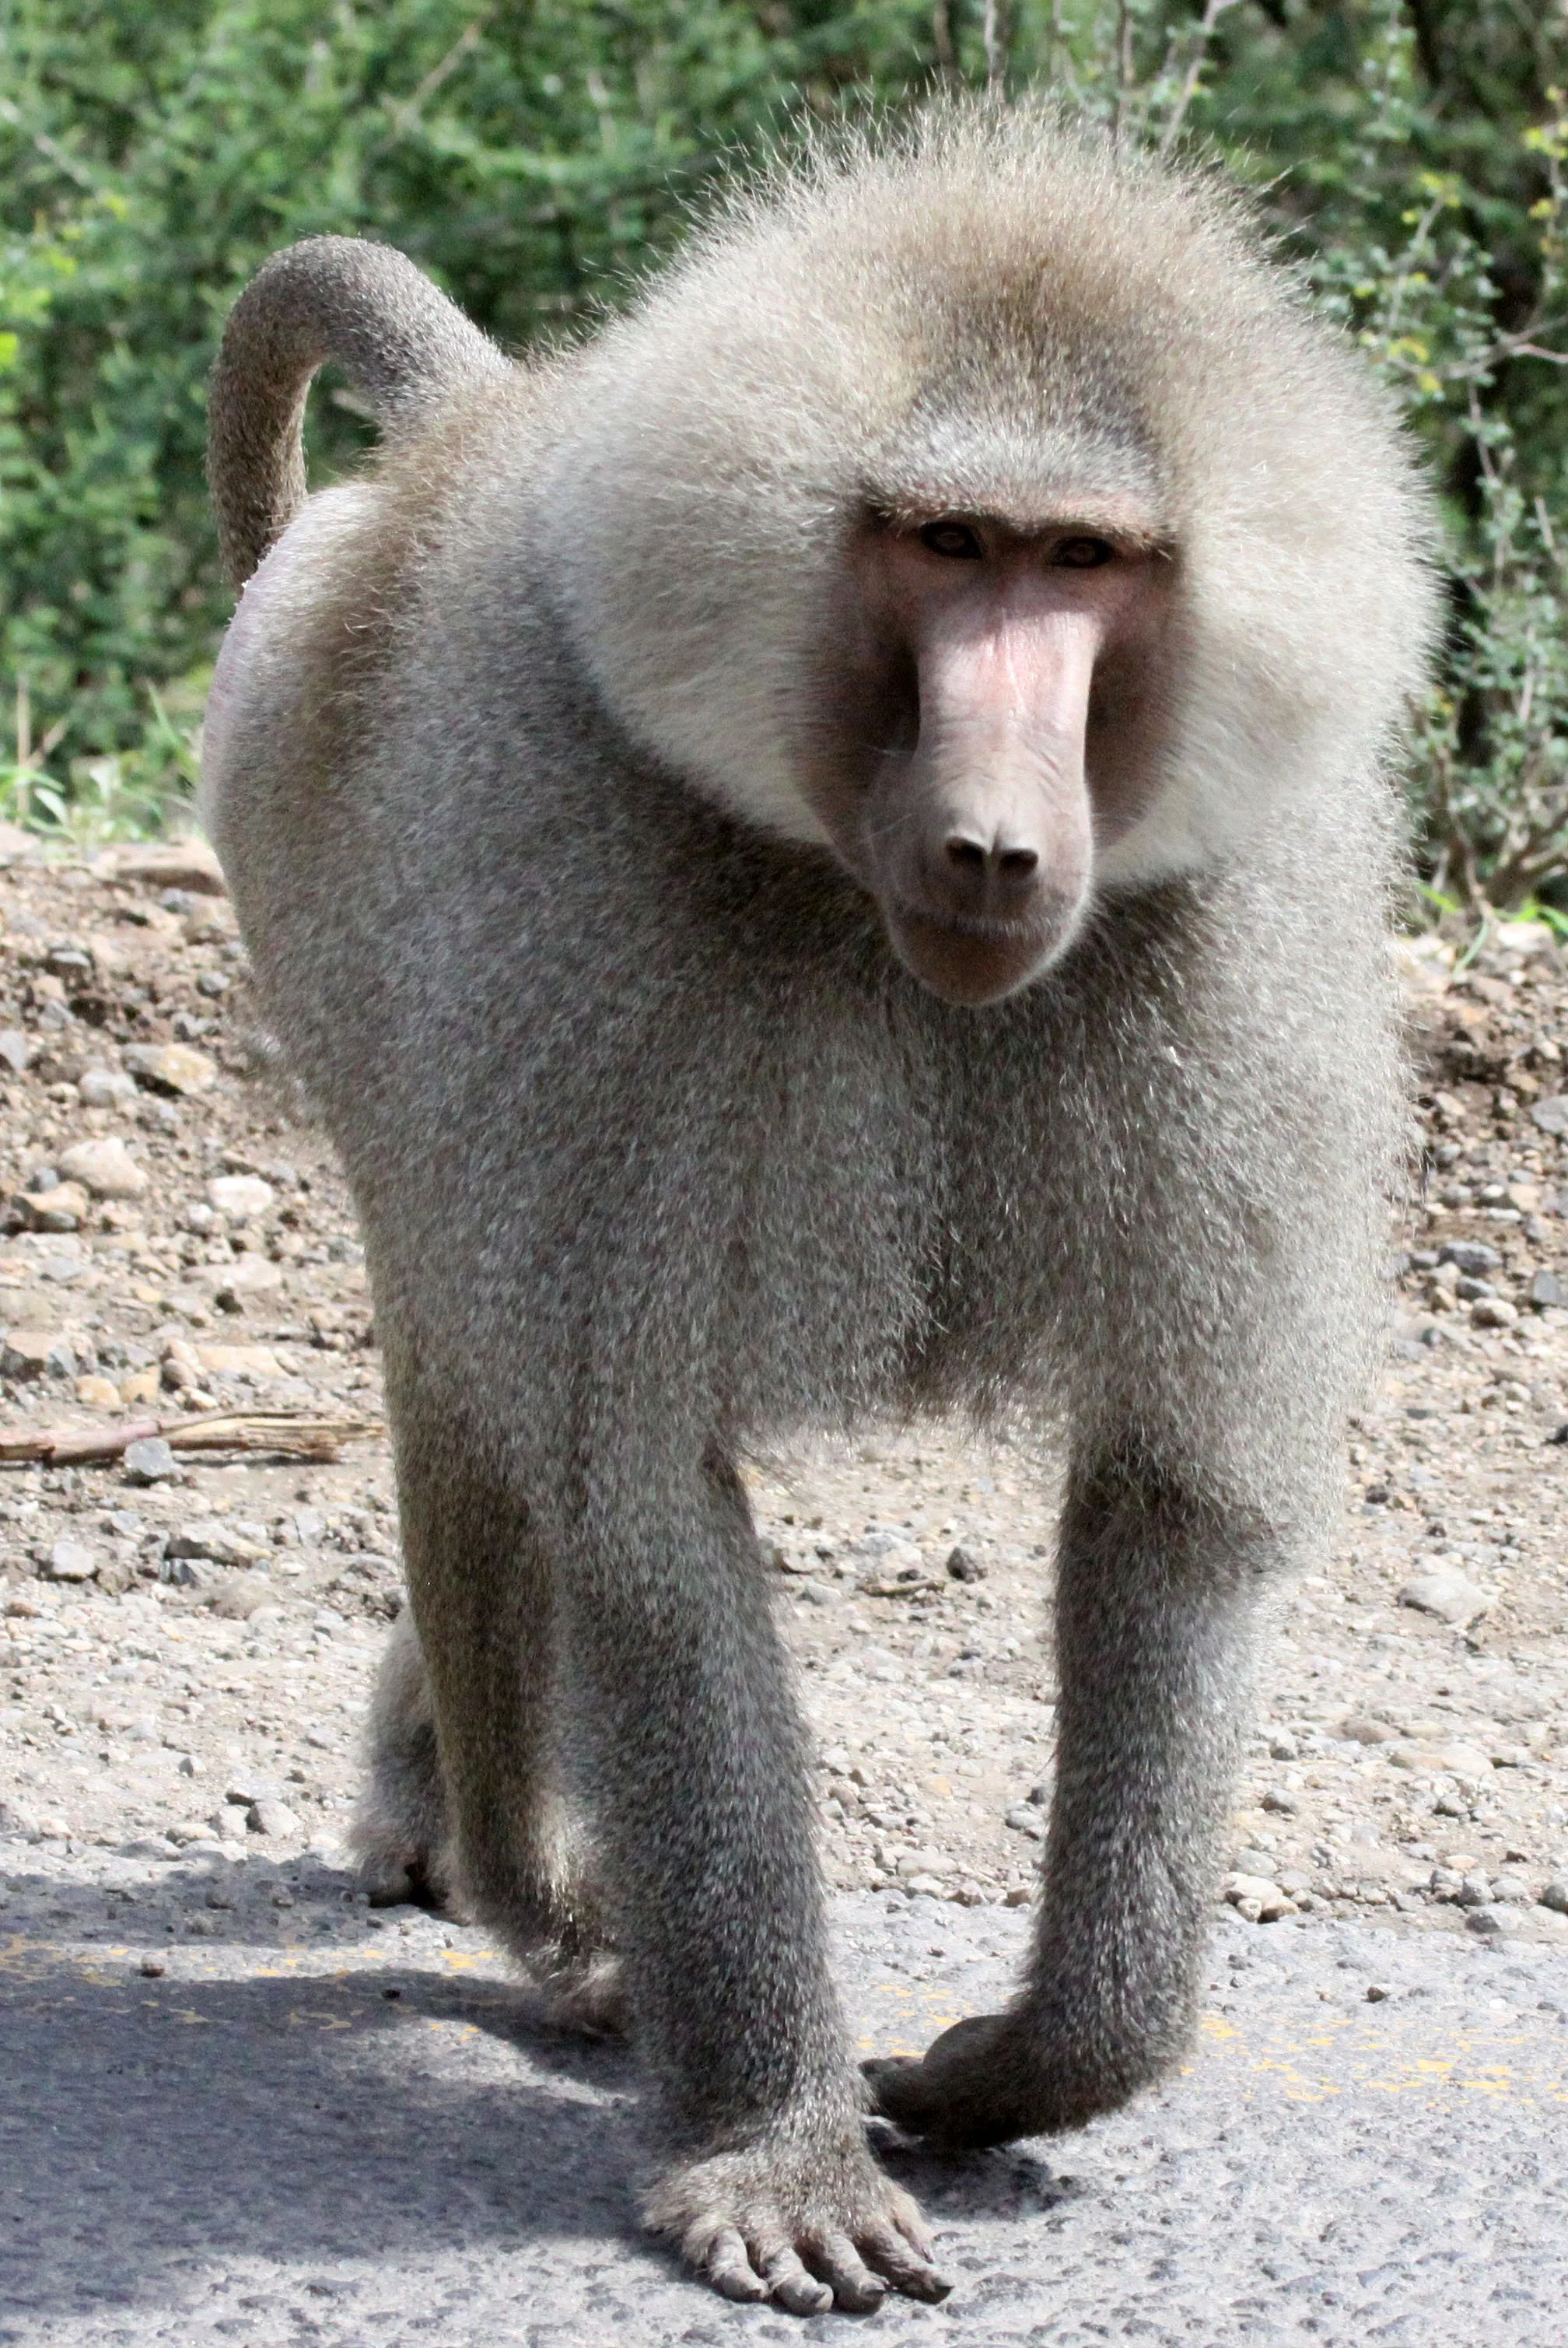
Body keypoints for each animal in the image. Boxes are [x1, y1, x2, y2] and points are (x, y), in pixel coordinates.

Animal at [202, 107, 1434, 2315]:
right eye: (946, 547)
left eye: (1087, 562)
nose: (1000, 846)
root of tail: (479, 429)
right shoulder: (608, 928)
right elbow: (636, 1506)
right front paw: (775, 2150)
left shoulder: (1225, 936)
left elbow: (1178, 1515)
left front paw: (1027, 2063)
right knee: (471, 1390)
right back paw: (538, 1894)